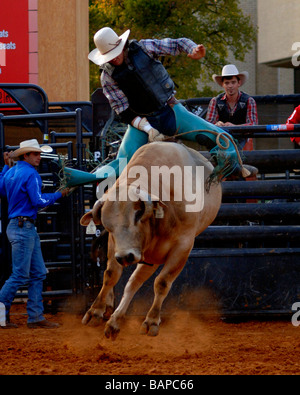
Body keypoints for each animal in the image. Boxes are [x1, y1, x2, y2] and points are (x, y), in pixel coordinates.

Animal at [80, 142, 223, 340]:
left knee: (137, 282)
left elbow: (162, 283)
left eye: (138, 215)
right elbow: (111, 275)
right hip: (150, 258)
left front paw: (152, 321)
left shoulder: (183, 247)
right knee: (133, 282)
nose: (125, 257)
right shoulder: (115, 245)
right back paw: (114, 319)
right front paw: (95, 311)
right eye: (108, 226)